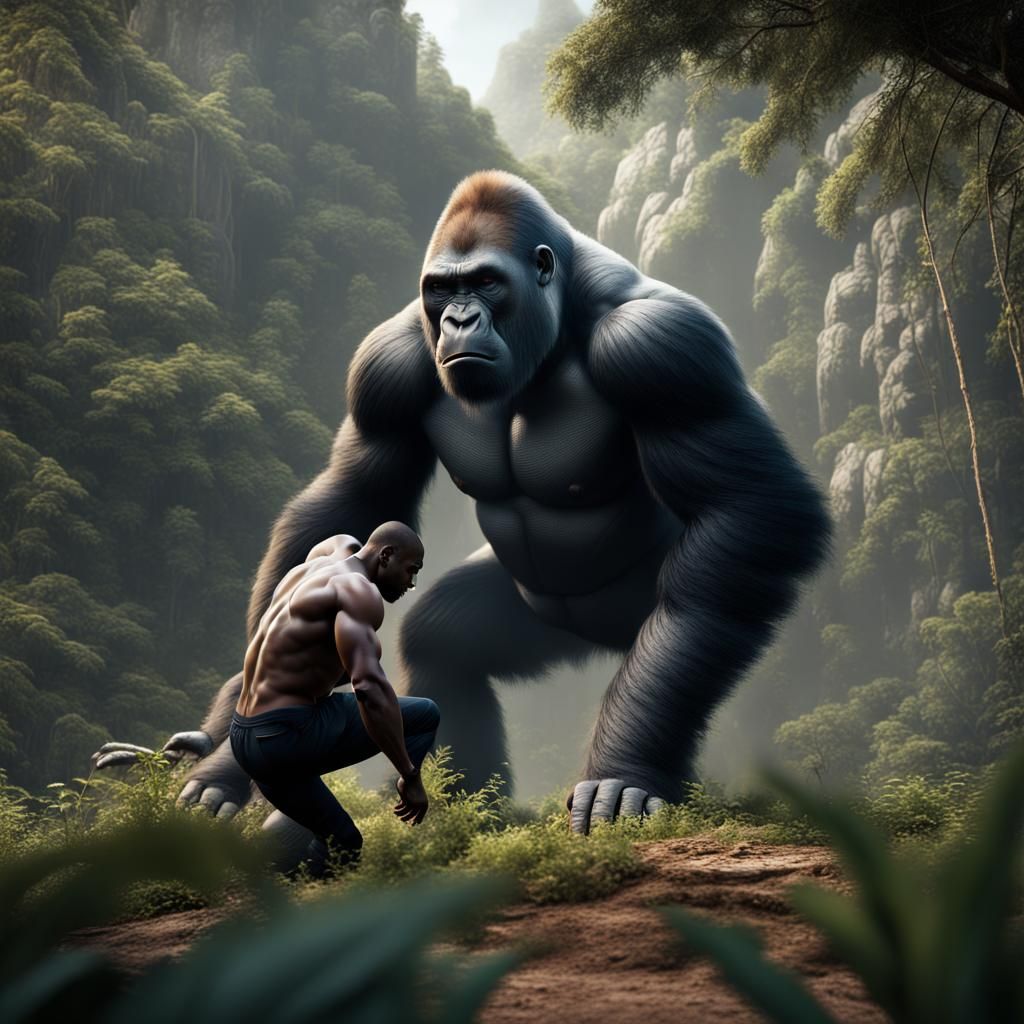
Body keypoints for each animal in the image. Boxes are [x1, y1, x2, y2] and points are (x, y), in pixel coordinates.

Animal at [103, 170, 830, 835]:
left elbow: (751, 505)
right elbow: (352, 496)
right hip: (545, 618)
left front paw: (625, 771)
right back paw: (473, 808)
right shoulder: (387, 362)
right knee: (443, 640)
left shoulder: (665, 348)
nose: (457, 319)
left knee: (702, 604)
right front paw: (229, 740)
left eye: (484, 283)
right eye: (442, 290)